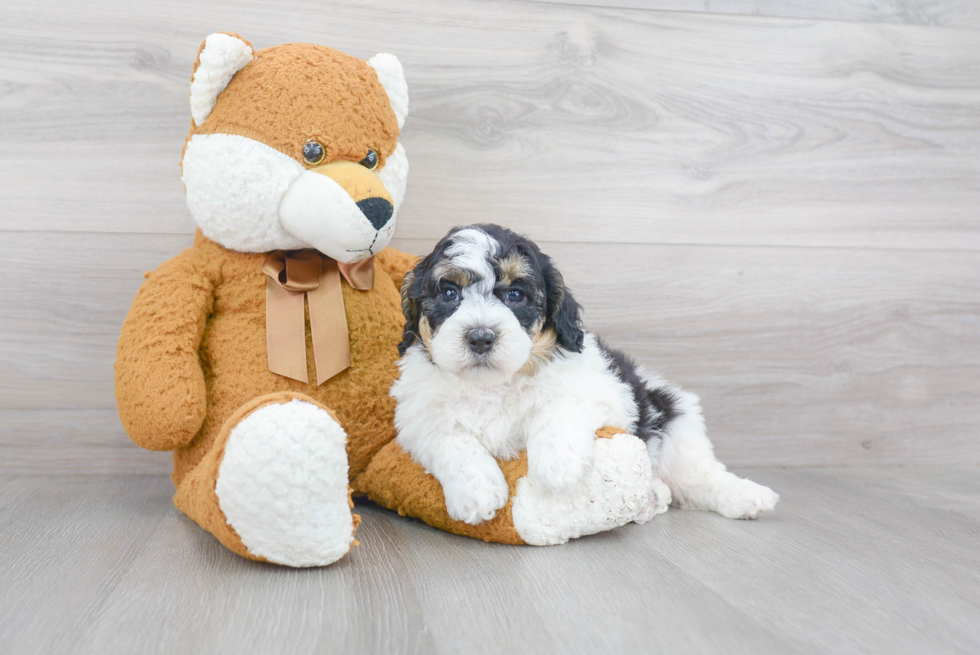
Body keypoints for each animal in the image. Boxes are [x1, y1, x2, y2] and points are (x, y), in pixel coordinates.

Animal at [386, 226, 776, 528]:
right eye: (449, 292)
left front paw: (558, 465)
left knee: (699, 476)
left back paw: (747, 496)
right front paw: (476, 491)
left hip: (674, 422)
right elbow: (451, 438)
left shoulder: (601, 390)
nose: (481, 337)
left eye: (515, 294)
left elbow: (558, 408)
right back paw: (653, 497)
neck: (494, 385)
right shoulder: (419, 418)